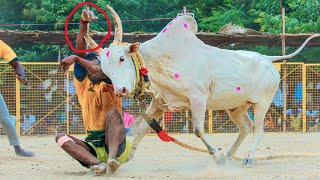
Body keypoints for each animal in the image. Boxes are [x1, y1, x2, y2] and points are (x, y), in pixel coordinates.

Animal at [85, 5, 320, 165]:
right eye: (105, 69)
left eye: (121, 58)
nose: (121, 90)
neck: (161, 59)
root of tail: (267, 59)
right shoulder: (160, 103)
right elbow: (142, 128)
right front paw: (123, 159)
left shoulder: (198, 98)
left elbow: (198, 129)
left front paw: (215, 153)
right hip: (236, 107)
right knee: (246, 127)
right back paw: (230, 154)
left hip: (263, 103)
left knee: (259, 129)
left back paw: (247, 157)